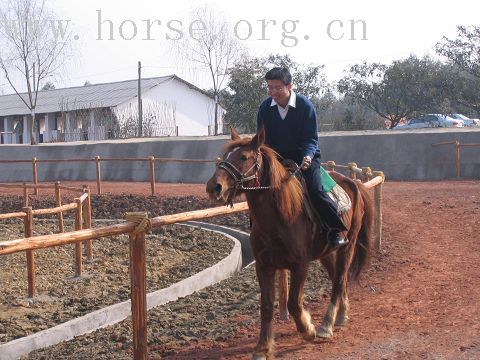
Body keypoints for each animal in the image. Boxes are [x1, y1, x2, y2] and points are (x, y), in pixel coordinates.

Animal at [206, 128, 376, 358]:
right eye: (225, 157)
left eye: (243, 157)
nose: (214, 187)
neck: (281, 216)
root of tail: (354, 184)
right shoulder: (264, 266)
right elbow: (267, 306)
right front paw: (263, 348)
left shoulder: (300, 265)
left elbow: (294, 303)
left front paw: (308, 330)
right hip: (327, 253)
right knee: (338, 280)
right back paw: (342, 315)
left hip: (347, 247)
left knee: (339, 281)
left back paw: (326, 325)